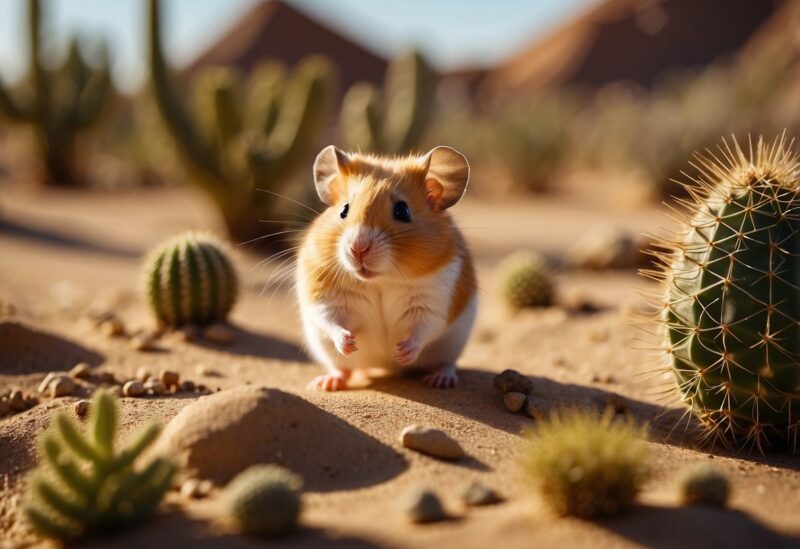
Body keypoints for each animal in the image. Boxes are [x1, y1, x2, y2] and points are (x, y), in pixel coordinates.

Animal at [298, 146, 476, 392]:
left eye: (403, 211)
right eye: (344, 210)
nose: (358, 248)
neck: (380, 280)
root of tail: (384, 368)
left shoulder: (434, 301)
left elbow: (424, 329)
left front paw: (401, 352)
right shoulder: (325, 297)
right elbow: (331, 320)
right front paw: (349, 342)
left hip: (451, 344)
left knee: (446, 363)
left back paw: (440, 379)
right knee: (342, 368)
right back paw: (327, 383)